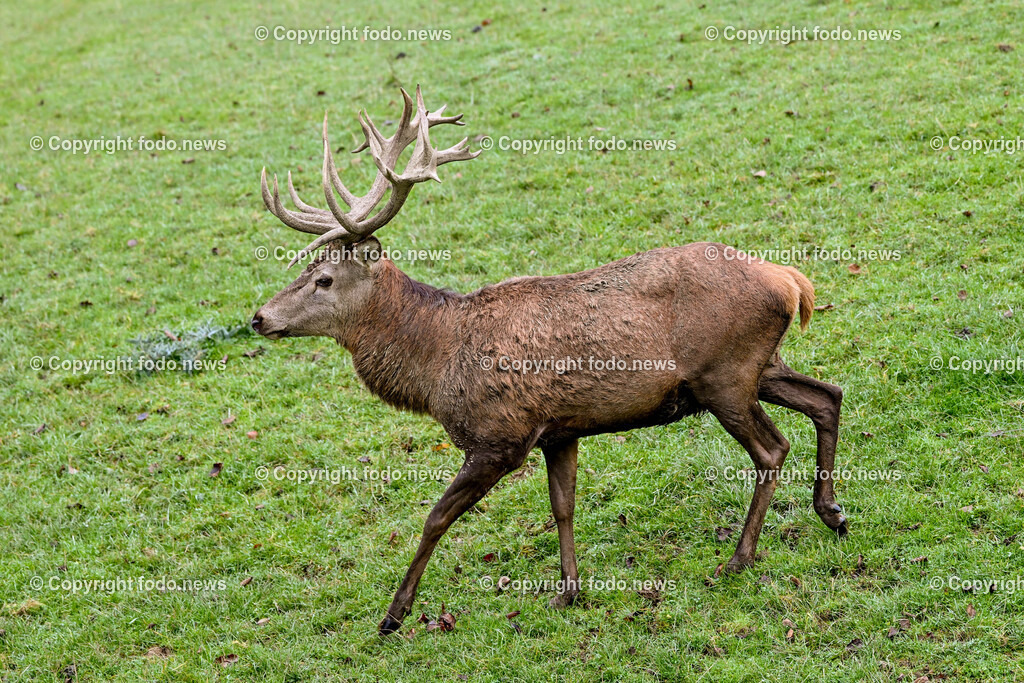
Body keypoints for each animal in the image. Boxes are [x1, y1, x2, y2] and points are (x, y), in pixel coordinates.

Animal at [250, 86, 846, 636]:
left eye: (325, 279)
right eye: (305, 269)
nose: (258, 318)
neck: (436, 363)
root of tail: (791, 280)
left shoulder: (500, 436)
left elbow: (436, 517)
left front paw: (394, 615)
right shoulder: (559, 431)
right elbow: (564, 506)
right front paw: (568, 592)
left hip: (726, 375)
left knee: (772, 449)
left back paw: (740, 559)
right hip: (757, 368)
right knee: (828, 395)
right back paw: (832, 513)